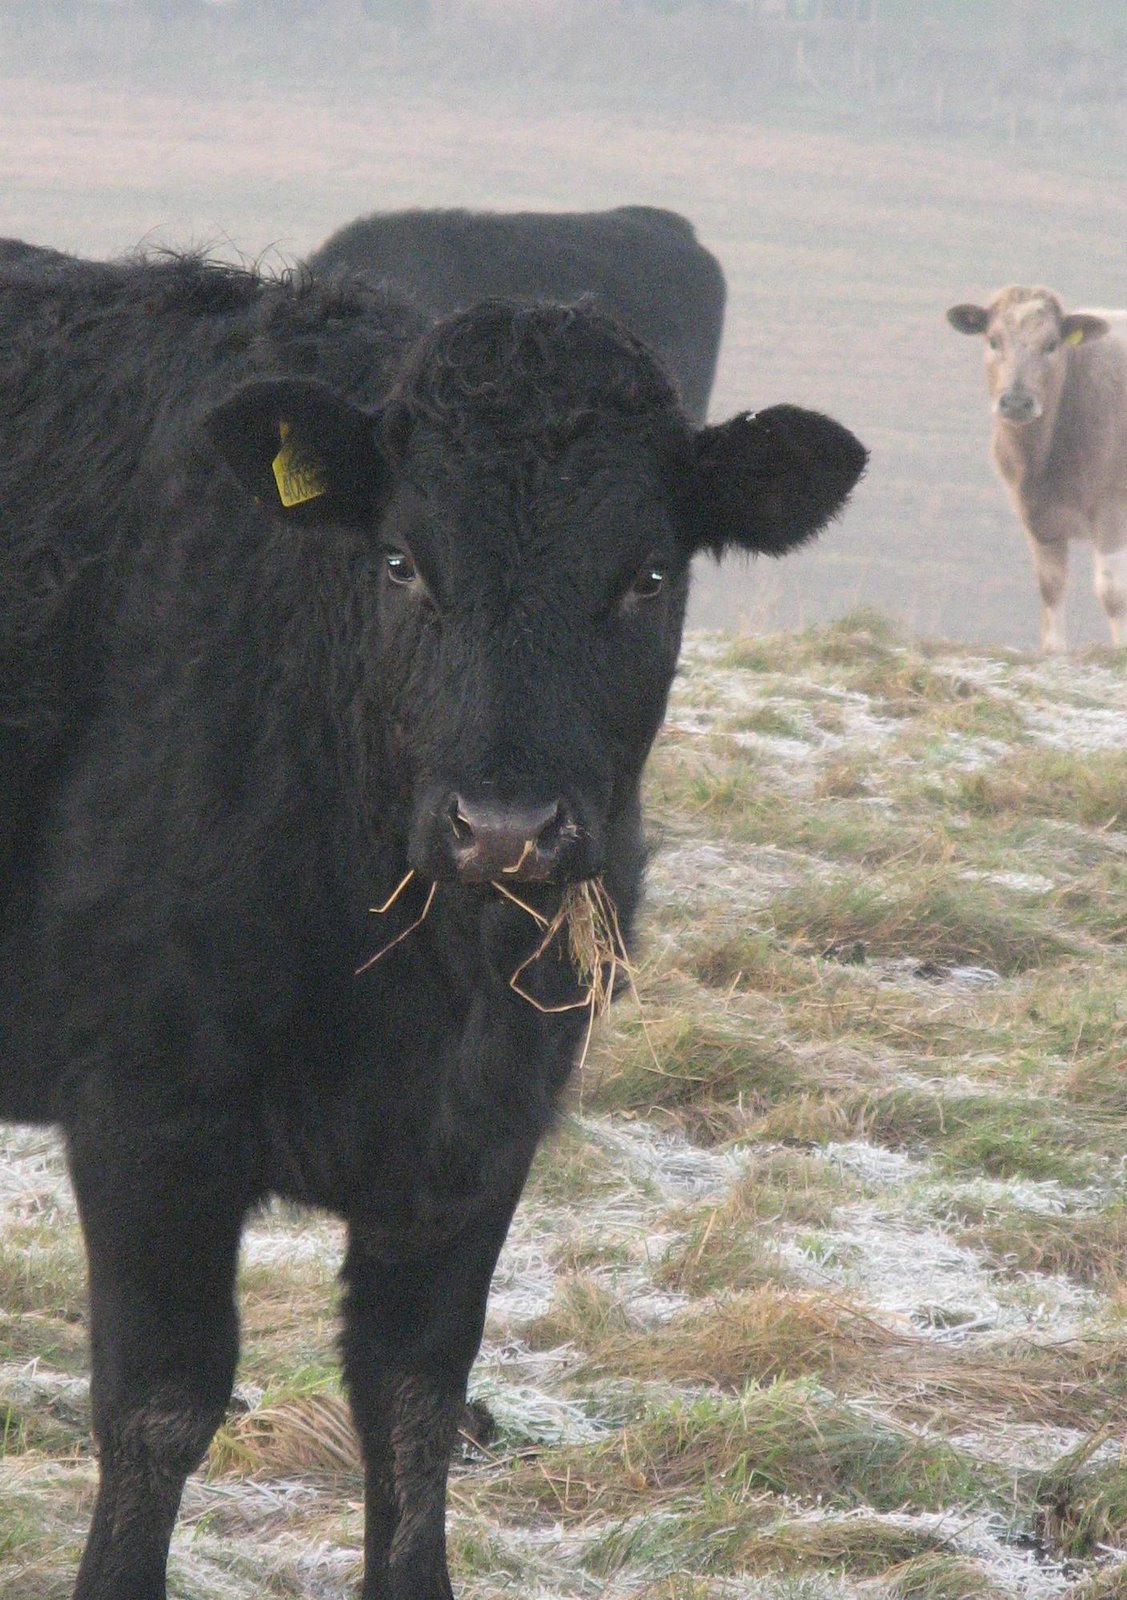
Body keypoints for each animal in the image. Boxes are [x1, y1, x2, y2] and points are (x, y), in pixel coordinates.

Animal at [0, 244, 865, 1600]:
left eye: (647, 575)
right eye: (402, 561)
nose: (506, 827)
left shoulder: (482, 1130)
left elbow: (412, 1402)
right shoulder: (148, 1110)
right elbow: (159, 1406)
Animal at [947, 285, 1127, 653]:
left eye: (1051, 344)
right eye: (993, 340)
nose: (1016, 401)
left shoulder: (1112, 506)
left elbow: (1112, 590)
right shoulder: (1035, 514)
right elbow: (1051, 582)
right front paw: (1053, 650)